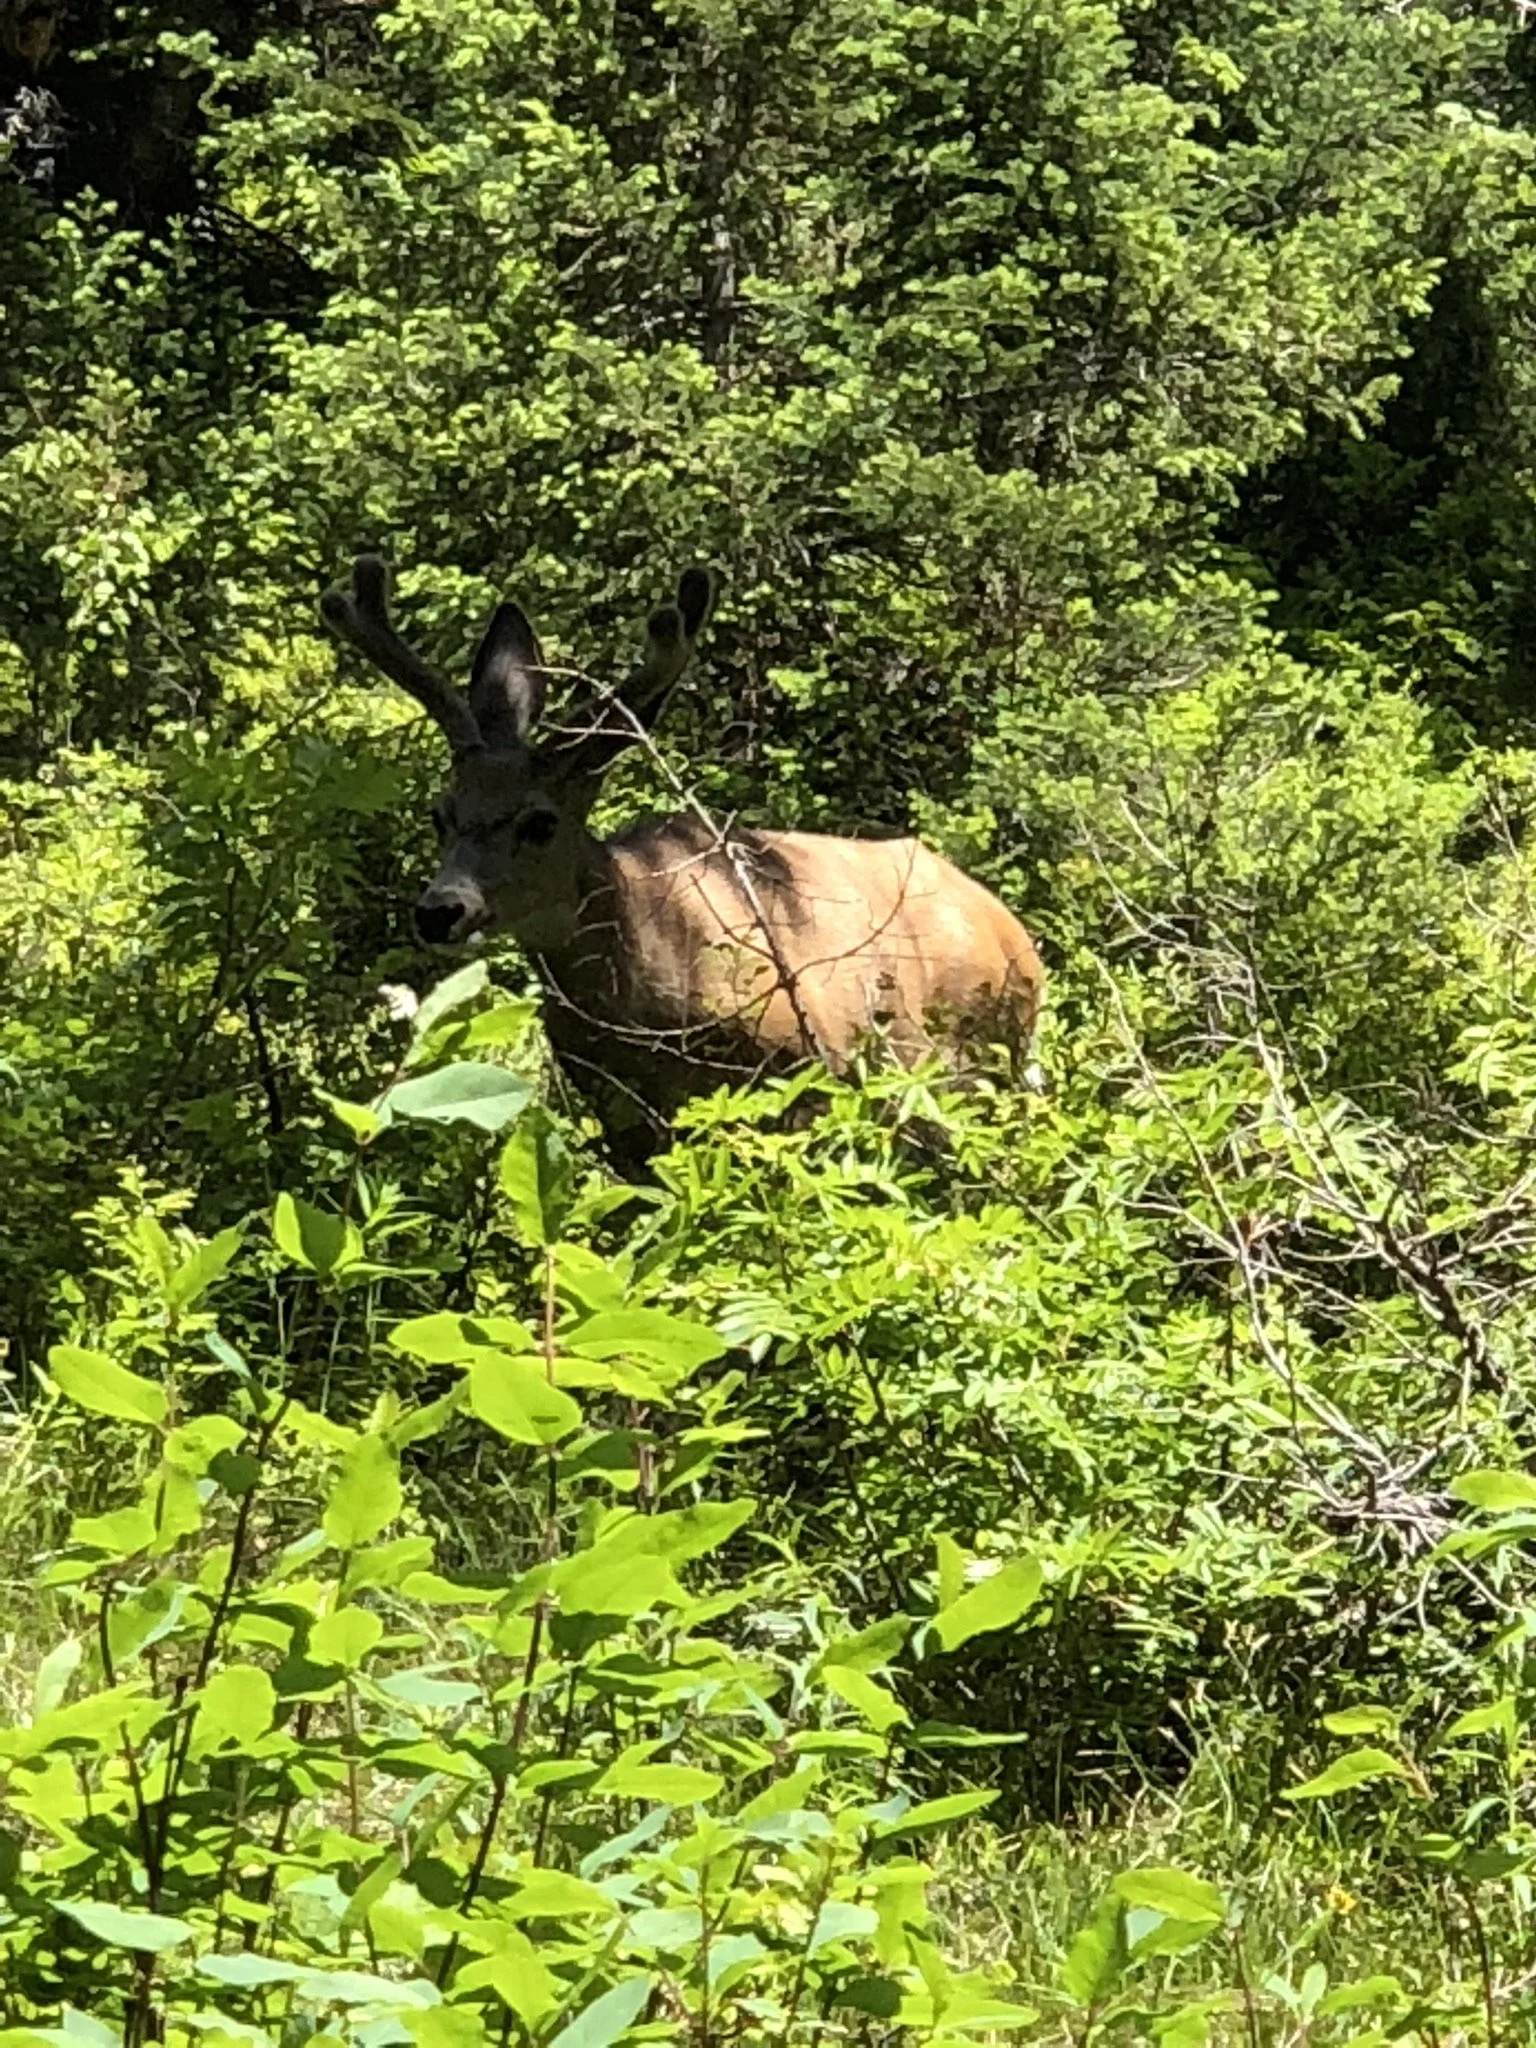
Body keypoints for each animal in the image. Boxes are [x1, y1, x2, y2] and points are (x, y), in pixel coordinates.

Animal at [321, 555, 1044, 1164]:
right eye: (440, 813)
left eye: (541, 822)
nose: (441, 909)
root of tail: (1016, 938)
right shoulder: (620, 1115)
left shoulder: (805, 1066)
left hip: (969, 1061)